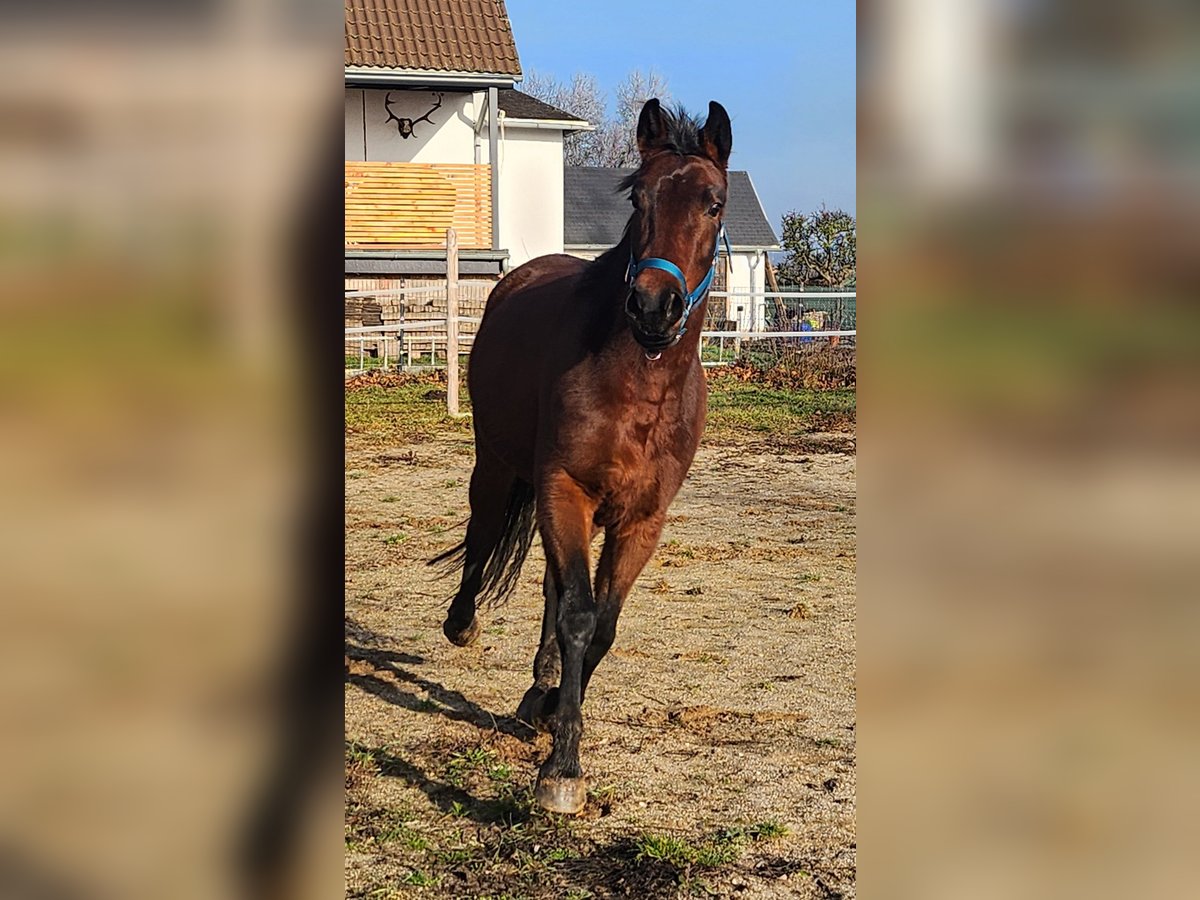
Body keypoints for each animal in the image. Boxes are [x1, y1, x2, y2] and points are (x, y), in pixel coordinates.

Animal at [432, 98, 729, 816]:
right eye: (639, 197)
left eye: (714, 204)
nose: (654, 306)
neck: (640, 387)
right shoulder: (562, 487)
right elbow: (578, 613)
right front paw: (562, 769)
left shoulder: (641, 519)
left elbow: (601, 626)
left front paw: (550, 715)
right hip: (502, 469)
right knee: (484, 538)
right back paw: (463, 625)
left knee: (551, 583)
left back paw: (540, 687)